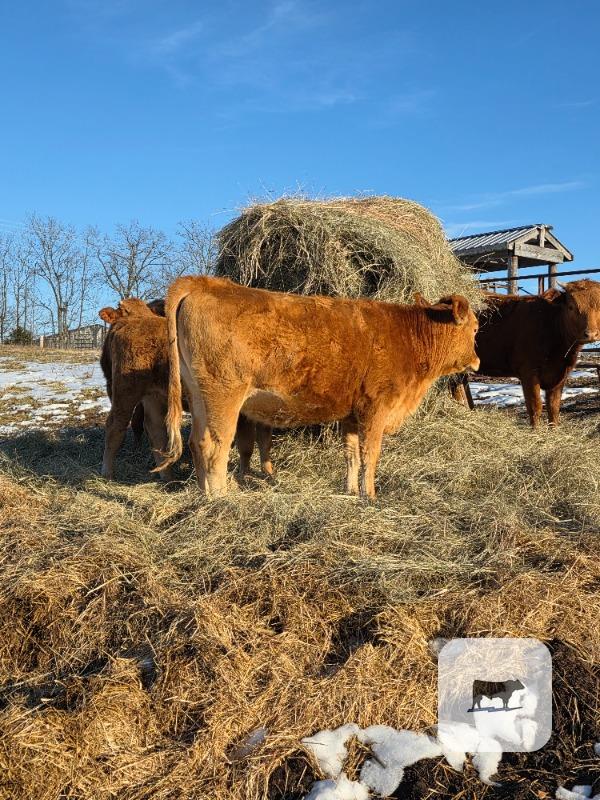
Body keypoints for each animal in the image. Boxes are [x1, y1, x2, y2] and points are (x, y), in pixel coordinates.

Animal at [99, 298, 273, 481]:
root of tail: (130, 321)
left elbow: (264, 441)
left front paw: (268, 472)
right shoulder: (243, 414)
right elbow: (247, 445)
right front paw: (244, 475)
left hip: (154, 396)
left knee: (155, 430)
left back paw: (167, 477)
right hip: (125, 392)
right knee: (115, 426)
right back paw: (107, 473)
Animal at [157, 277, 480, 498]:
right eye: (476, 328)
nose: (477, 362)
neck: (409, 337)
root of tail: (207, 282)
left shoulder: (352, 414)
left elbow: (351, 454)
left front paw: (351, 492)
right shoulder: (375, 408)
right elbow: (370, 454)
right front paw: (371, 496)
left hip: (198, 397)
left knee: (196, 442)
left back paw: (204, 494)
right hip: (223, 395)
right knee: (215, 445)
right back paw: (221, 498)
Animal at [475, 280, 600, 426]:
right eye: (571, 307)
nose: (591, 334)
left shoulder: (561, 374)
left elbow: (554, 407)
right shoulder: (528, 372)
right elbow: (535, 407)